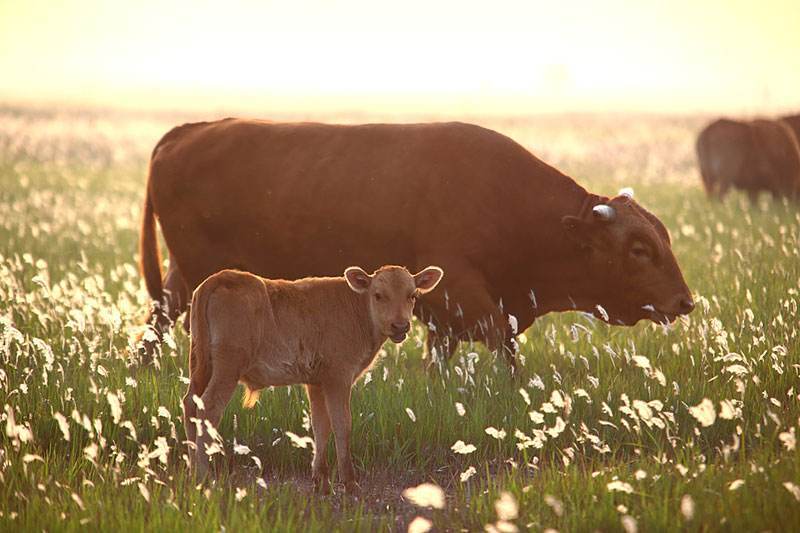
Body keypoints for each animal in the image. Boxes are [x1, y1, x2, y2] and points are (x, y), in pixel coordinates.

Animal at [141, 119, 696, 366]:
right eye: (639, 249)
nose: (684, 301)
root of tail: (188, 131)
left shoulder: (442, 318)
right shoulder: (469, 300)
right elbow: (505, 350)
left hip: (181, 280)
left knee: (155, 325)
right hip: (199, 276)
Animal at [181, 264, 444, 492]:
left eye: (412, 295)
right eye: (379, 295)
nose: (400, 326)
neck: (357, 310)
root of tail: (221, 277)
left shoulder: (316, 382)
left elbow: (320, 425)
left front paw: (322, 481)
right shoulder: (339, 377)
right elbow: (342, 423)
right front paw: (349, 482)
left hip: (200, 366)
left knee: (190, 404)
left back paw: (192, 470)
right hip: (227, 368)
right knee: (209, 408)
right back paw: (204, 476)